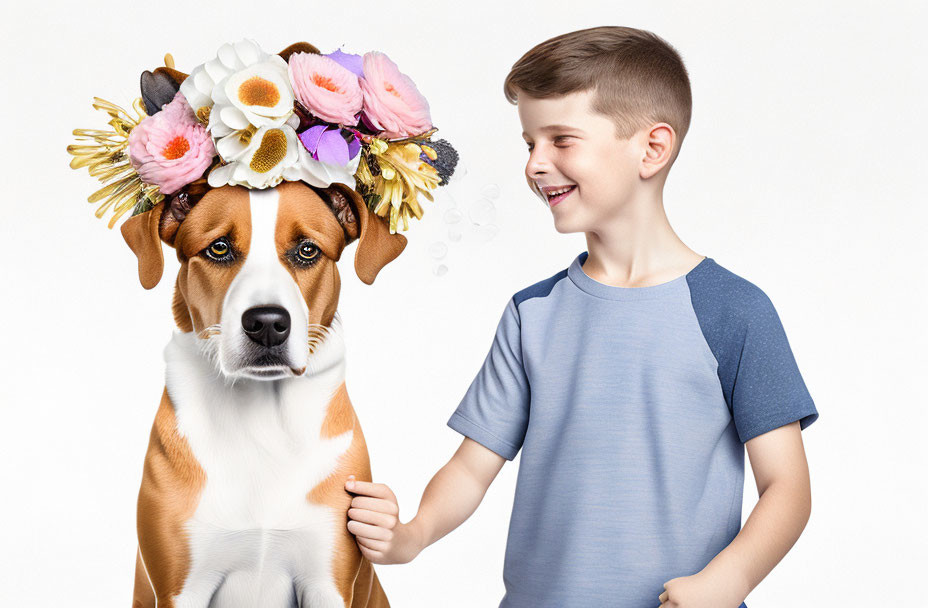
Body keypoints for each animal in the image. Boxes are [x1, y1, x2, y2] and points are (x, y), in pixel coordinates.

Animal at [119, 180, 402, 608]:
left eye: (307, 250)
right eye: (219, 248)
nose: (267, 323)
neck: (264, 419)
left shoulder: (326, 583)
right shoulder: (181, 588)